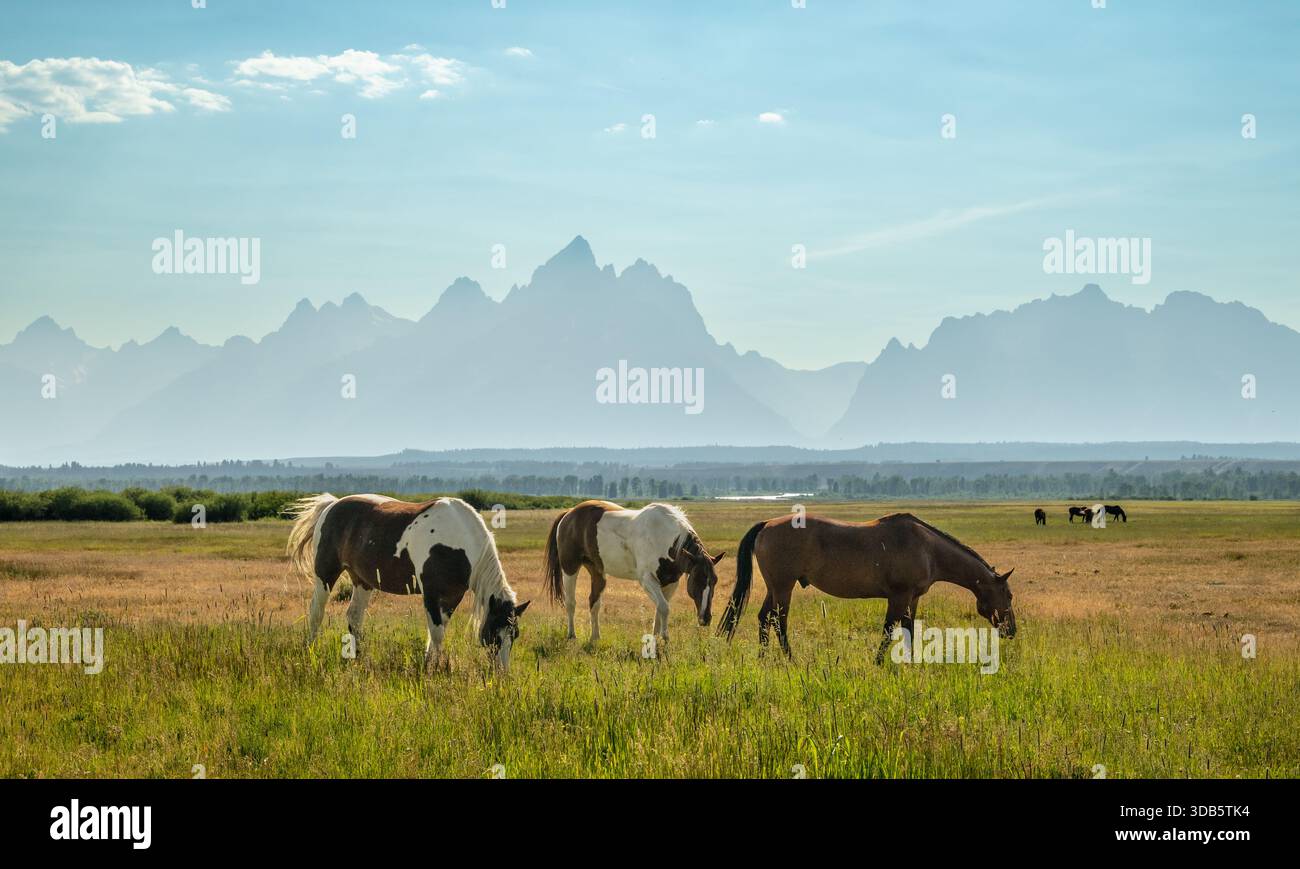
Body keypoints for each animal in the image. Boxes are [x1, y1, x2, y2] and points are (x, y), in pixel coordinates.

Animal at [286, 494, 530, 672]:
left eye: (515, 634)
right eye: (495, 634)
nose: (502, 673)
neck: (457, 543)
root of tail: (332, 504)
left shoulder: (452, 597)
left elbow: (438, 632)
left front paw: (431, 664)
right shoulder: (431, 594)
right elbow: (436, 633)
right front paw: (433, 670)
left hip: (363, 581)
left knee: (354, 617)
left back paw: (358, 658)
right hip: (325, 575)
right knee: (316, 613)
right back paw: (311, 652)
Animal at [543, 500, 725, 647]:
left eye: (714, 581)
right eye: (698, 580)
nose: (706, 618)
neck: (665, 538)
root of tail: (569, 513)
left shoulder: (670, 582)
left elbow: (660, 608)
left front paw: (655, 638)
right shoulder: (647, 580)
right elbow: (664, 608)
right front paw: (665, 638)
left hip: (597, 571)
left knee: (594, 603)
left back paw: (595, 638)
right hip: (570, 568)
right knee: (570, 602)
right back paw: (572, 635)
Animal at [718, 512, 1016, 663]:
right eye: (1008, 595)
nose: (1011, 630)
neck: (928, 549)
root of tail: (767, 524)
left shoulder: (912, 598)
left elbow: (908, 629)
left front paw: (911, 662)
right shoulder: (898, 597)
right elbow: (888, 630)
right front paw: (880, 662)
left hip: (775, 588)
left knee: (764, 618)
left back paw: (762, 658)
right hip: (783, 588)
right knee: (779, 621)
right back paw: (790, 659)